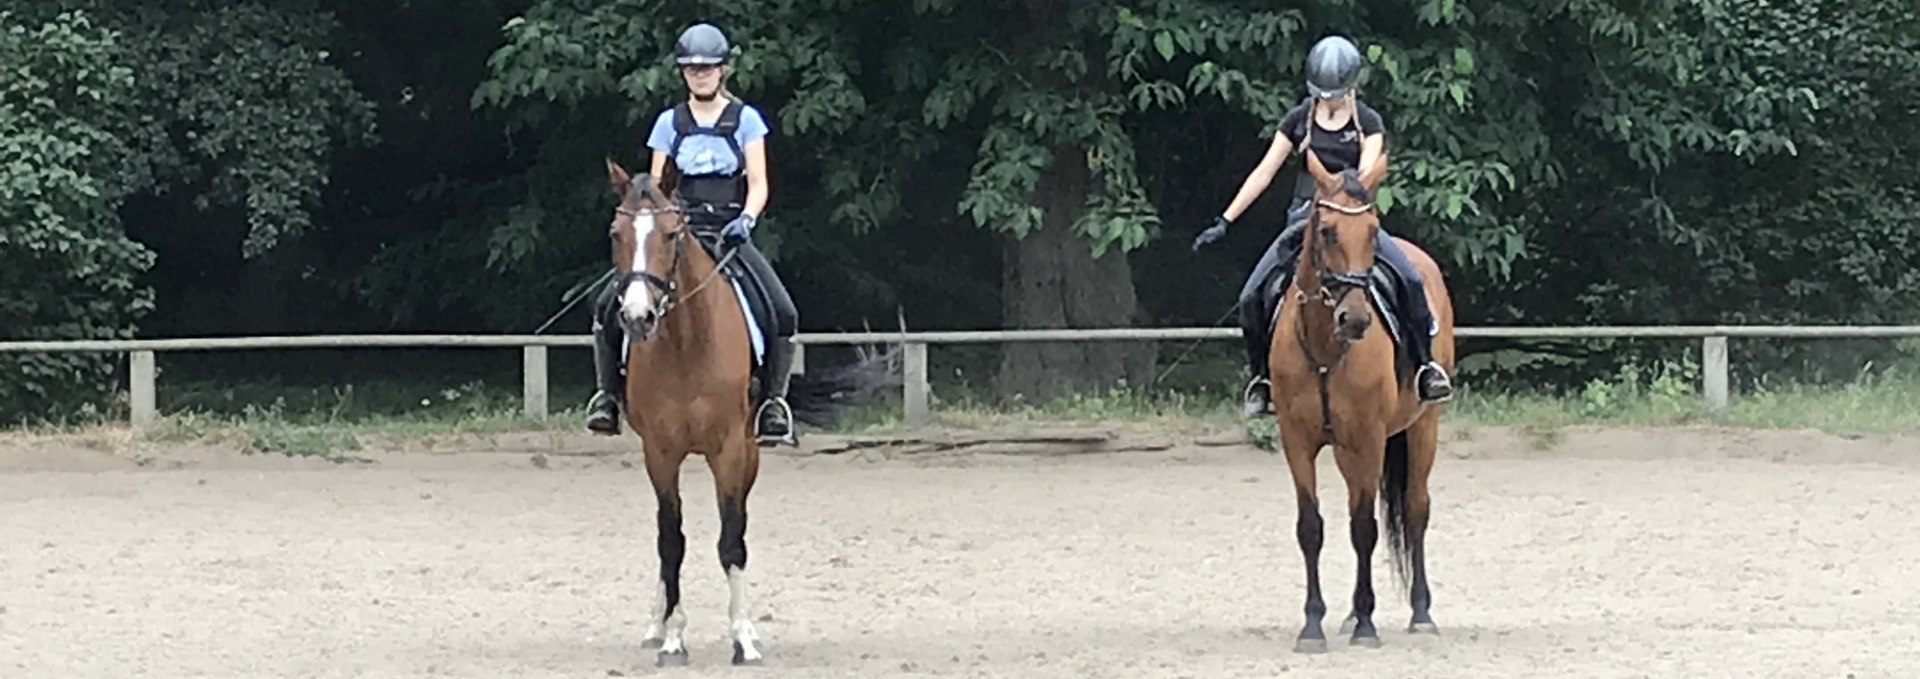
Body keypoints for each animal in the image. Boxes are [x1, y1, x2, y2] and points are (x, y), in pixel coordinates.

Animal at [599, 158, 883, 663]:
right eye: (617, 233)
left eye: (671, 234)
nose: (636, 317)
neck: (686, 344)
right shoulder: (660, 452)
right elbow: (670, 541)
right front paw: (672, 638)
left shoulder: (730, 450)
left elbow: (731, 541)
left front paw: (743, 639)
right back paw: (655, 625)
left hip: (749, 451)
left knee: (740, 527)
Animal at [1274, 149, 1451, 652]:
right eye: (1328, 231)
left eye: (1373, 230)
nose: (1353, 319)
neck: (1325, 347)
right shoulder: (1296, 440)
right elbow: (1311, 527)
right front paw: (1313, 625)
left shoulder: (1370, 438)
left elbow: (1364, 528)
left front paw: (1368, 625)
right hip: (1347, 450)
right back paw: (1351, 613)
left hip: (1423, 426)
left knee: (1415, 509)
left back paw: (1420, 614)